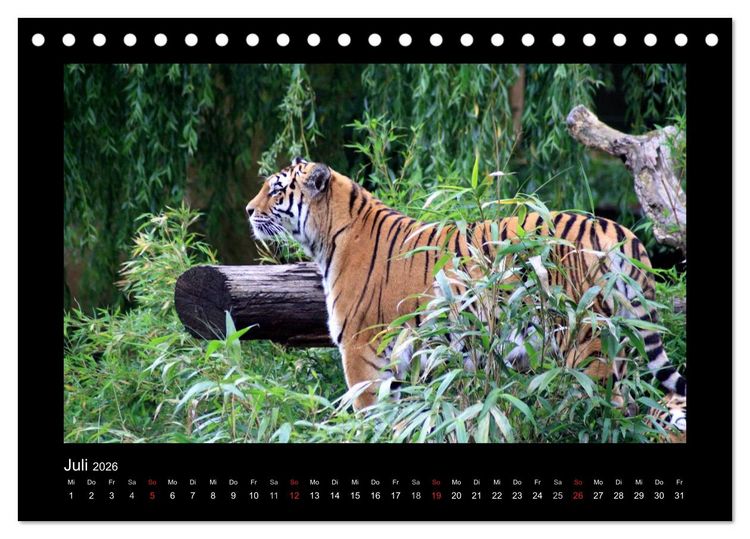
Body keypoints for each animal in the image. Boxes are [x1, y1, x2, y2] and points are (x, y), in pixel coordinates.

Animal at [245, 158, 687, 434]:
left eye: (277, 190)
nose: (248, 211)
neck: (325, 237)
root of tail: (619, 230)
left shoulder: (360, 349)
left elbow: (367, 414)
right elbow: (404, 417)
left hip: (587, 345)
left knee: (606, 407)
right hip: (621, 344)